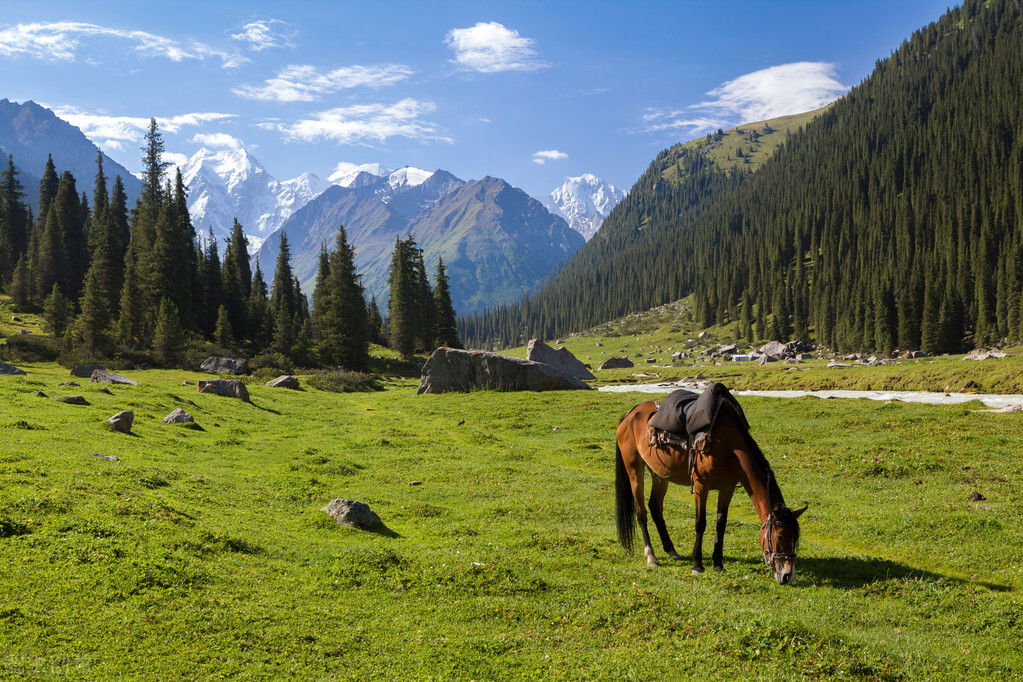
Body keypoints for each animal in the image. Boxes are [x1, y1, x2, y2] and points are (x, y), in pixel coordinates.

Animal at [613, 396, 806, 584]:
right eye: (780, 536)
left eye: (795, 537)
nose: (788, 575)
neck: (729, 447)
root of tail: (629, 415)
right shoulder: (701, 487)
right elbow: (700, 523)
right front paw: (697, 565)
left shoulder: (727, 488)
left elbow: (721, 524)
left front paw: (718, 564)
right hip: (634, 470)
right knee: (641, 512)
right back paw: (651, 556)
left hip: (659, 473)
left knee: (655, 507)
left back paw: (671, 550)